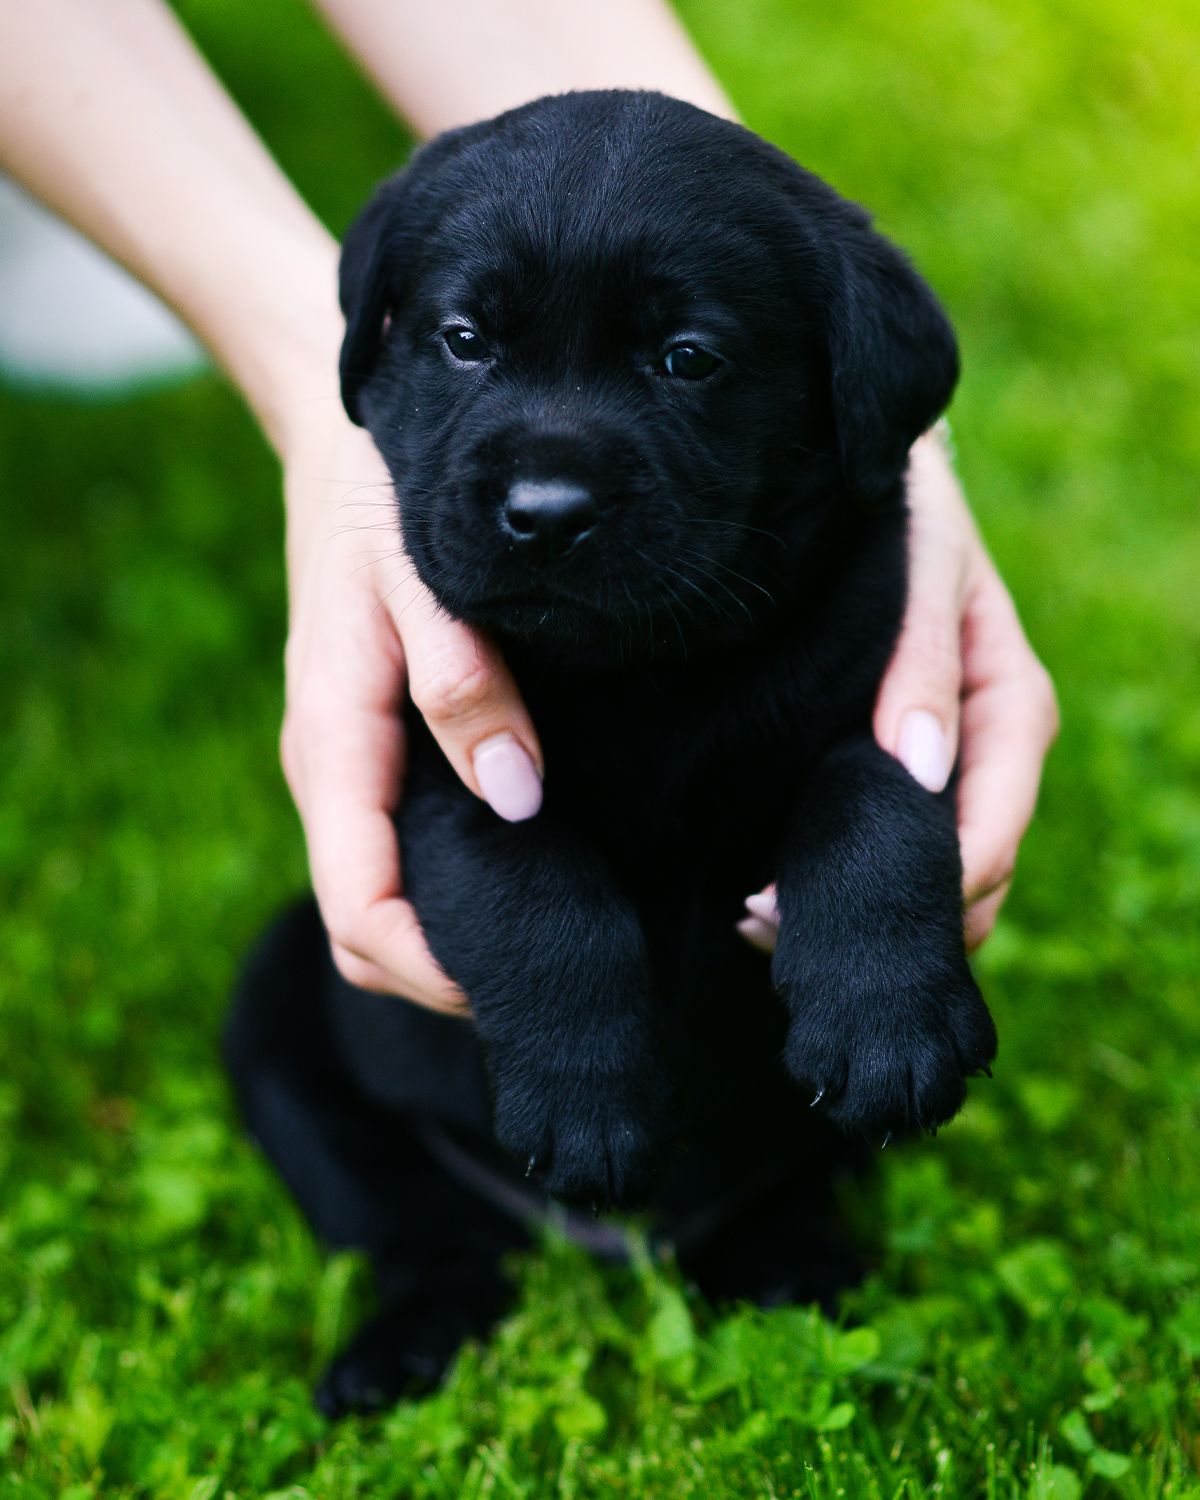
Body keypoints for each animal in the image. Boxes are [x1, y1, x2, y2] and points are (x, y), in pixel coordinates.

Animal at [225, 93, 996, 1416]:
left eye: (688, 358)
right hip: (283, 1013)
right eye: (464, 340)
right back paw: (400, 1353)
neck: (646, 675)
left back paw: (800, 1285)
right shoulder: (442, 766)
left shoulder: (900, 686)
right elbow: (538, 889)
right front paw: (590, 1104)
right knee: (425, 1237)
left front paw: (887, 1024)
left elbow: (875, 798)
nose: (546, 511)